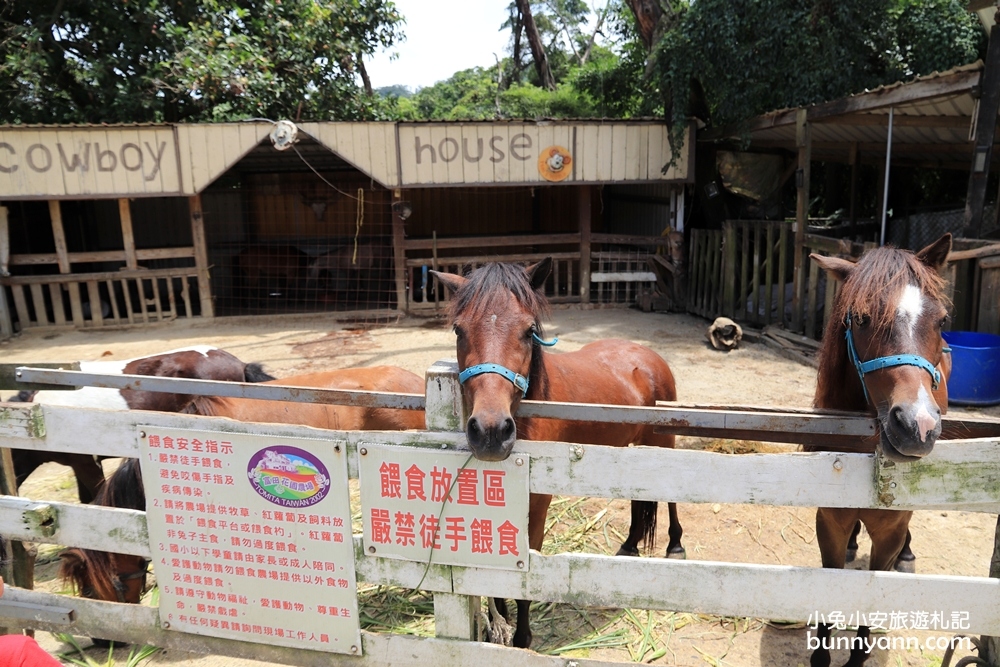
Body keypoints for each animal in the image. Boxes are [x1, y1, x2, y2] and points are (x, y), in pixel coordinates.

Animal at [430, 258, 680, 648]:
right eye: (458, 330)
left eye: (529, 330)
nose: (490, 432)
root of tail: (649, 356)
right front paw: (499, 624)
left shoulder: (537, 504)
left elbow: (526, 576)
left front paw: (521, 638)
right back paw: (629, 546)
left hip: (663, 444)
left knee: (670, 497)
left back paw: (675, 546)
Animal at [804, 232, 952, 664]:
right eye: (860, 318)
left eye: (942, 321)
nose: (917, 426)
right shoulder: (829, 523)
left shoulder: (889, 532)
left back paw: (908, 555)